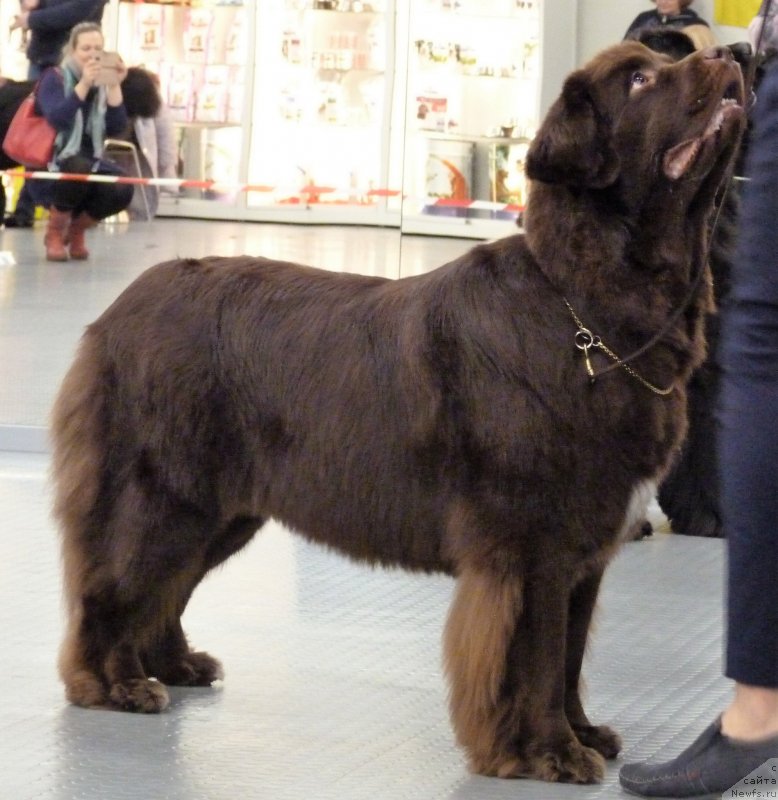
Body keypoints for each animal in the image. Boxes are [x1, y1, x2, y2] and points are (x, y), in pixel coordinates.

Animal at [51, 42, 744, 780]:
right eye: (641, 79)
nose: (733, 51)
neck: (585, 308)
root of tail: (119, 309)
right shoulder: (534, 539)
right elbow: (537, 654)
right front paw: (549, 753)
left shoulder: (588, 542)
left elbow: (570, 651)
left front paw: (582, 734)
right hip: (165, 492)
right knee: (115, 584)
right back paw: (114, 684)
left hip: (223, 507)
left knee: (165, 587)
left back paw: (175, 663)